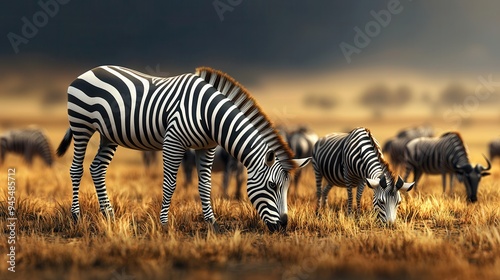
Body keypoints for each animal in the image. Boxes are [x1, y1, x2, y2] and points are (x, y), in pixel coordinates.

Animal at [56, 65, 310, 232]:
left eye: (286, 187)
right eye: (273, 185)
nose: (283, 226)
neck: (210, 116)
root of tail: (87, 72)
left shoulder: (207, 147)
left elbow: (205, 186)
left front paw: (212, 224)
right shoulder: (173, 141)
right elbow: (170, 183)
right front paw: (164, 224)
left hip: (109, 135)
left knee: (97, 169)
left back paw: (108, 215)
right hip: (81, 124)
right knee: (76, 169)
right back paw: (76, 216)